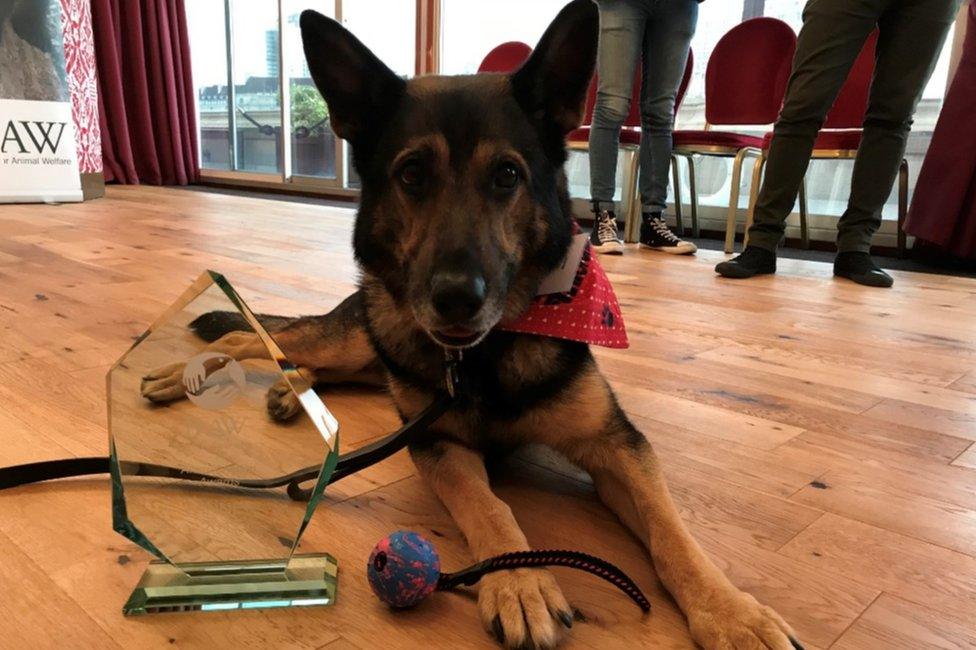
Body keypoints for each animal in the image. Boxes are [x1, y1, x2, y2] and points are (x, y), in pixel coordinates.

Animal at [143, 2, 800, 644]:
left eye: (507, 176)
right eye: (412, 175)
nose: (455, 299)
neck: (486, 355)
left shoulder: (617, 447)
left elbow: (674, 532)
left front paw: (731, 612)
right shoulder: (439, 442)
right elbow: (489, 507)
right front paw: (519, 581)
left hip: (370, 356)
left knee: (314, 363)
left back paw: (289, 391)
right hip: (358, 338)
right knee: (251, 336)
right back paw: (186, 374)